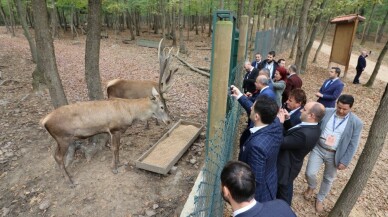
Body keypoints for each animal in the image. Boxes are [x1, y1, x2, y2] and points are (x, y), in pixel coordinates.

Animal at [39, 87, 171, 186]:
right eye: (162, 106)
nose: (169, 121)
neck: (131, 113)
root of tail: (44, 121)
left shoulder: (117, 131)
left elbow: (118, 147)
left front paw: (119, 163)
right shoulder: (114, 129)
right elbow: (114, 148)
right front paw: (114, 168)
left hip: (59, 139)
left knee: (54, 154)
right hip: (63, 138)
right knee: (58, 156)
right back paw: (70, 181)